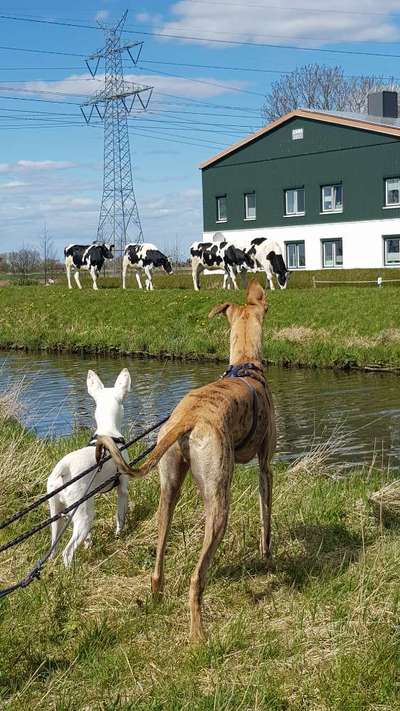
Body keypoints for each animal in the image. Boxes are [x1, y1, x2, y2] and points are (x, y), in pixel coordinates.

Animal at [47, 370, 131, 564]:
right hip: (84, 515)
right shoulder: (123, 488)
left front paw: (88, 544)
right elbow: (120, 516)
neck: (108, 432)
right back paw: (72, 569)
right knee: (67, 552)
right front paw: (119, 534)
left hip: (58, 513)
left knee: (54, 548)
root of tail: (63, 469)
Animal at [98, 280, 276, 640]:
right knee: (197, 578)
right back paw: (198, 635)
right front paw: (267, 558)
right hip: (219, 499)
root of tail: (188, 417)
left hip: (169, 489)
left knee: (158, 559)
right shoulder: (265, 467)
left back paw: (156, 598)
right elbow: (266, 516)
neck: (246, 367)